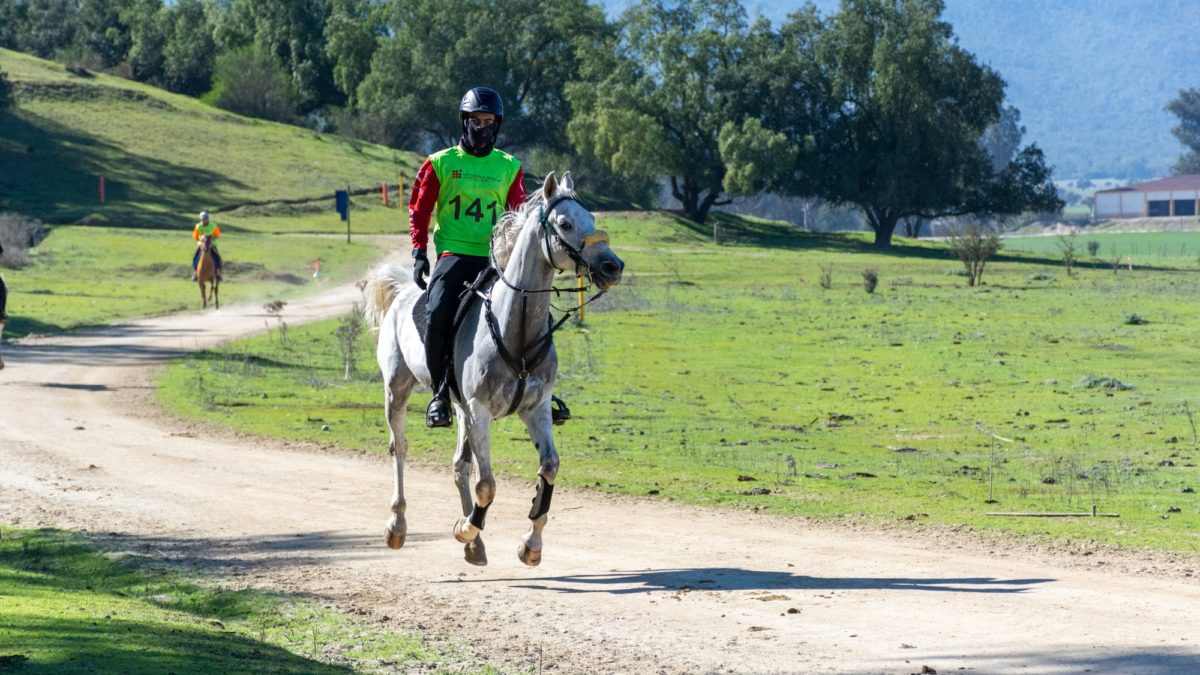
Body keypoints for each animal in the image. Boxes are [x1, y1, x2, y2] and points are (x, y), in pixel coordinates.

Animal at [362, 170, 628, 564]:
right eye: (565, 223)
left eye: (592, 219)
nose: (613, 266)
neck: (515, 329)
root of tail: (404, 292)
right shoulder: (480, 412)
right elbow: (486, 484)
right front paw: (467, 527)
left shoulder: (534, 409)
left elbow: (549, 468)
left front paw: (530, 544)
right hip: (398, 389)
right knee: (401, 448)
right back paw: (398, 525)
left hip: (458, 407)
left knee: (459, 463)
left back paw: (475, 547)